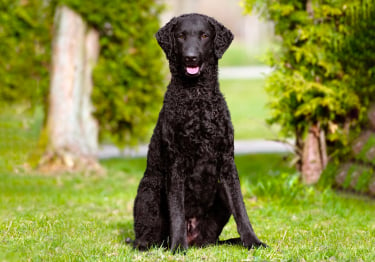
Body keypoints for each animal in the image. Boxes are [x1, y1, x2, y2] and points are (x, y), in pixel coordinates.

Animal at [133, 13, 268, 251]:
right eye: (180, 36)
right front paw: (178, 247)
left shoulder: (227, 162)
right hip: (150, 190)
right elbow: (177, 211)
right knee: (145, 237)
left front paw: (252, 241)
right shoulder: (175, 164)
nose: (191, 58)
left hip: (218, 197)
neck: (197, 99)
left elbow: (241, 209)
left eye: (204, 35)